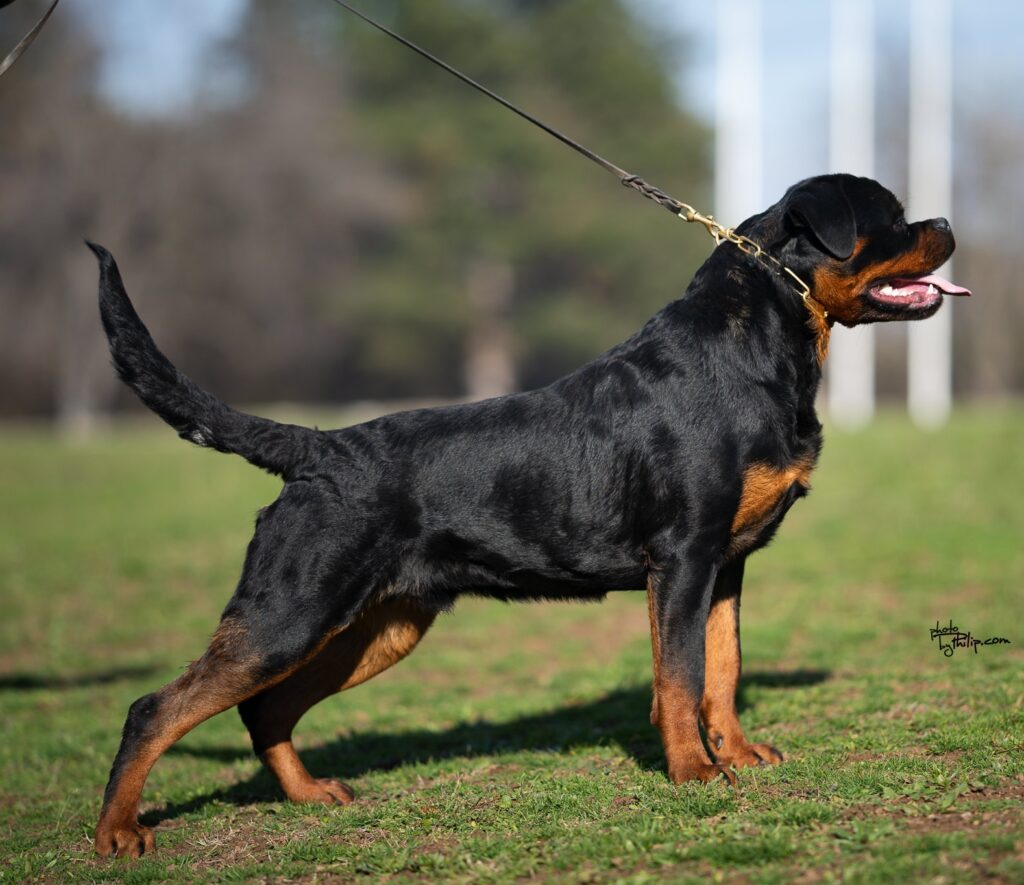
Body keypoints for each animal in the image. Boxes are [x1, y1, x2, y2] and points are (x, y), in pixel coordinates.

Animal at [88, 173, 969, 857]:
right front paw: (693, 773)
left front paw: (740, 755)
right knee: (155, 708)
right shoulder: (682, 556)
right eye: (890, 217)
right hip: (289, 613)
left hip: (377, 625)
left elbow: (723, 671)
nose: (949, 224)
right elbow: (680, 678)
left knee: (265, 707)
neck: (756, 344)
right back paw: (118, 834)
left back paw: (308, 796)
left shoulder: (728, 564)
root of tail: (315, 448)